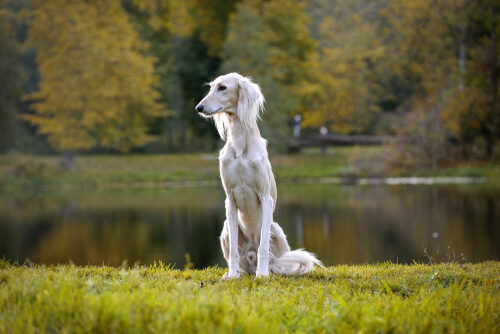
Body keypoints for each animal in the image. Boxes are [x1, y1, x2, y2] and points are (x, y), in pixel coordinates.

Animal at [193, 73, 322, 280]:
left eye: (222, 88)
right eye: (211, 87)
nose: (199, 108)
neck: (240, 144)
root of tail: (250, 261)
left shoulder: (265, 197)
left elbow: (263, 247)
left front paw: (262, 275)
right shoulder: (230, 200)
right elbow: (234, 251)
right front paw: (232, 275)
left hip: (275, 229)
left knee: (269, 255)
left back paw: (265, 269)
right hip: (226, 228)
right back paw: (238, 271)